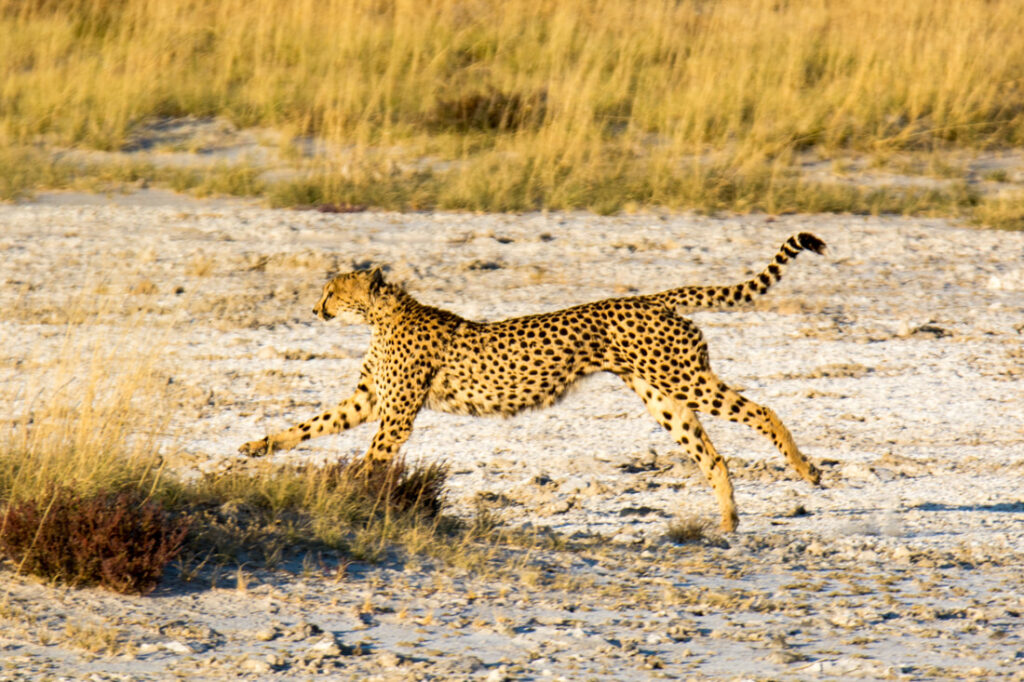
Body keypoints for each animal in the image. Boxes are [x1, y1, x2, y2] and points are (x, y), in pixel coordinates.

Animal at [240, 232, 828, 532]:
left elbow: (372, 458)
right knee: (712, 454)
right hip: (663, 396)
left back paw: (806, 469)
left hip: (684, 380)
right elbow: (308, 425)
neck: (385, 314)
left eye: (332, 292)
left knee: (763, 411)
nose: (315, 309)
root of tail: (652, 296)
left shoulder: (396, 412)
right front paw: (255, 446)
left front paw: (356, 497)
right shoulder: (367, 399)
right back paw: (728, 518)